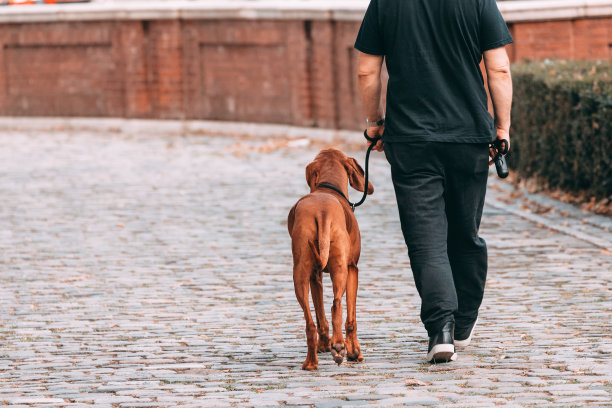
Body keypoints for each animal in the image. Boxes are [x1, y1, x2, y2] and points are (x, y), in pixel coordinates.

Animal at [286, 147, 372, 370]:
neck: (327, 188)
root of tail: (322, 211)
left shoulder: (315, 276)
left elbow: (320, 316)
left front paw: (325, 345)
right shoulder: (352, 269)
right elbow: (351, 318)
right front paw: (355, 352)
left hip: (300, 273)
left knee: (310, 323)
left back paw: (311, 363)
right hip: (341, 270)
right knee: (337, 305)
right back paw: (340, 348)